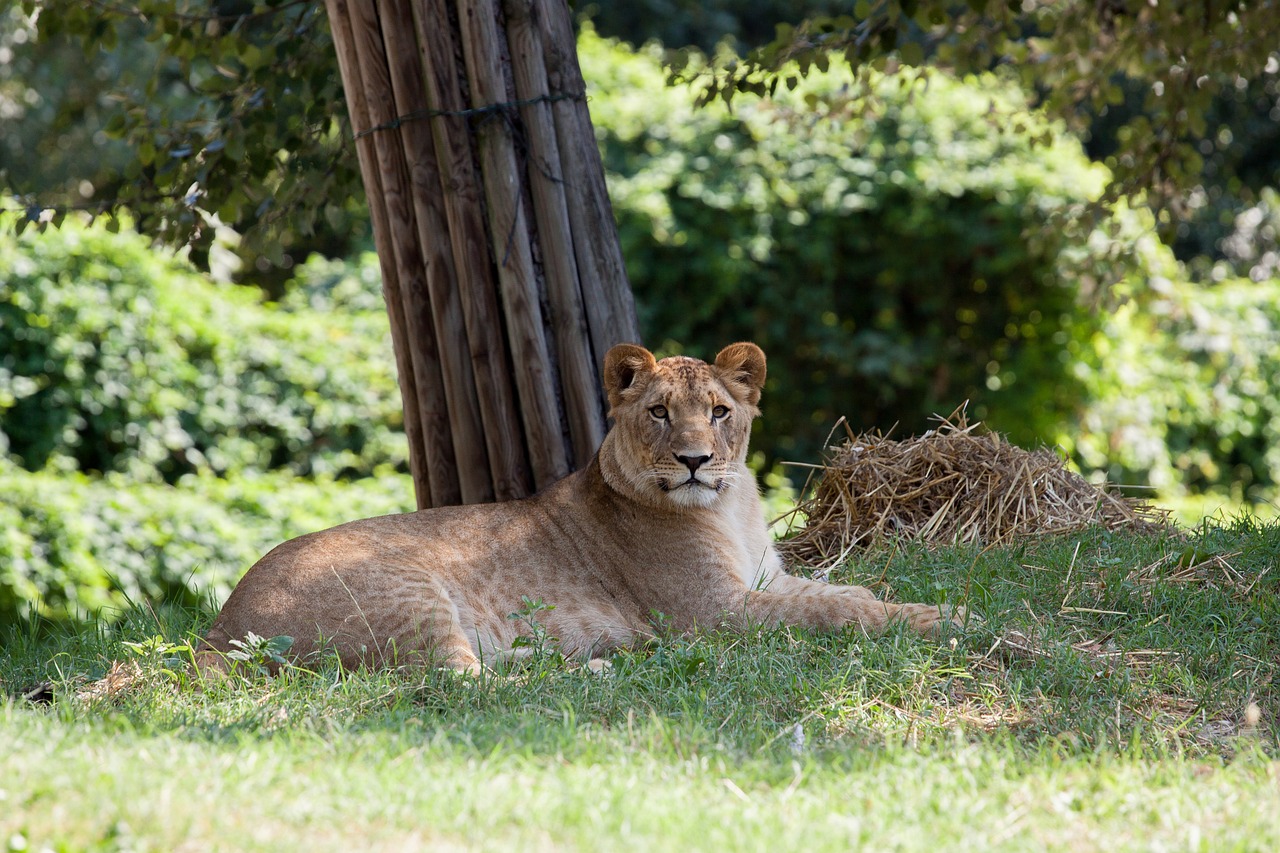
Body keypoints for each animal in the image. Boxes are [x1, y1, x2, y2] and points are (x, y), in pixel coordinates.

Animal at [197, 338, 962, 671]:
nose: (695, 460)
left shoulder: (764, 580)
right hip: (411, 597)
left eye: (719, 411)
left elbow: (843, 590)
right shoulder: (714, 612)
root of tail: (220, 625)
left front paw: (915, 604)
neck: (731, 505)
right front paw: (946, 619)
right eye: (659, 412)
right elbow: (838, 611)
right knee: (459, 687)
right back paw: (598, 668)